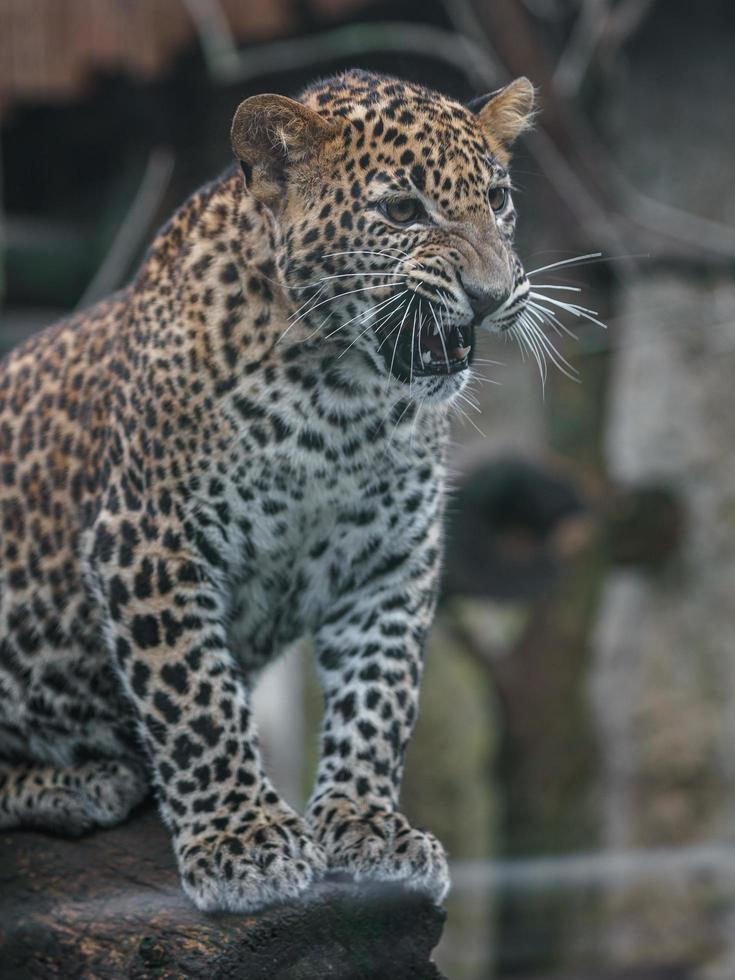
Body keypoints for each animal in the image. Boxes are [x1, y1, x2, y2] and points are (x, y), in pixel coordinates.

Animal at [0, 69, 536, 912]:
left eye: (498, 198)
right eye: (401, 211)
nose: (490, 294)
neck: (338, 397)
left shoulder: (392, 557)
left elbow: (380, 694)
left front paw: (368, 826)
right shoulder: (149, 545)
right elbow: (196, 701)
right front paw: (242, 841)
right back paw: (77, 783)